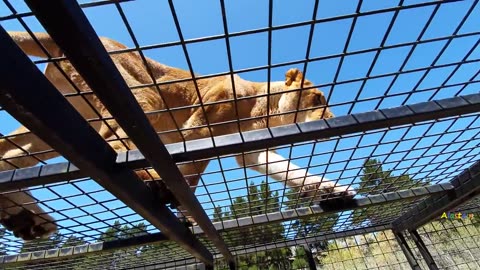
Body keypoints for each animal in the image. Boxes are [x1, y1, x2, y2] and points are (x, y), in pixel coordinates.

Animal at [0, 31, 352, 240]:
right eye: (319, 99)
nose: (332, 118)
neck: (260, 104)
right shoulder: (200, 127)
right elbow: (190, 176)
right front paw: (188, 214)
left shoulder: (249, 152)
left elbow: (290, 171)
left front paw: (331, 189)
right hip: (142, 99)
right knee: (117, 145)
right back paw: (152, 181)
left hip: (53, 120)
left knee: (6, 155)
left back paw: (25, 219)